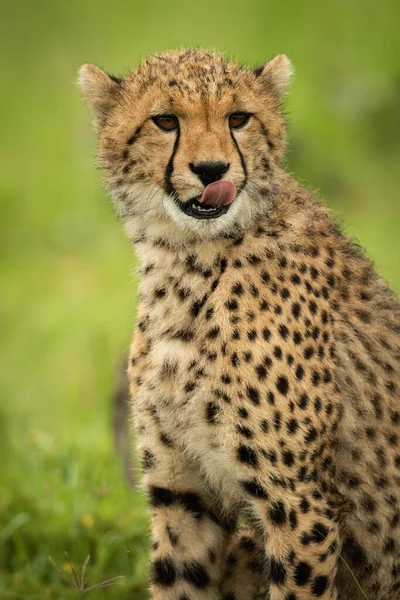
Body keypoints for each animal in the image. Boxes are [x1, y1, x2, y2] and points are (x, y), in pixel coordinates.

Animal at [79, 49, 400, 596]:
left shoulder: (298, 502)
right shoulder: (181, 491)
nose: (212, 169)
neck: (186, 261)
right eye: (166, 121)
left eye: (238, 119)